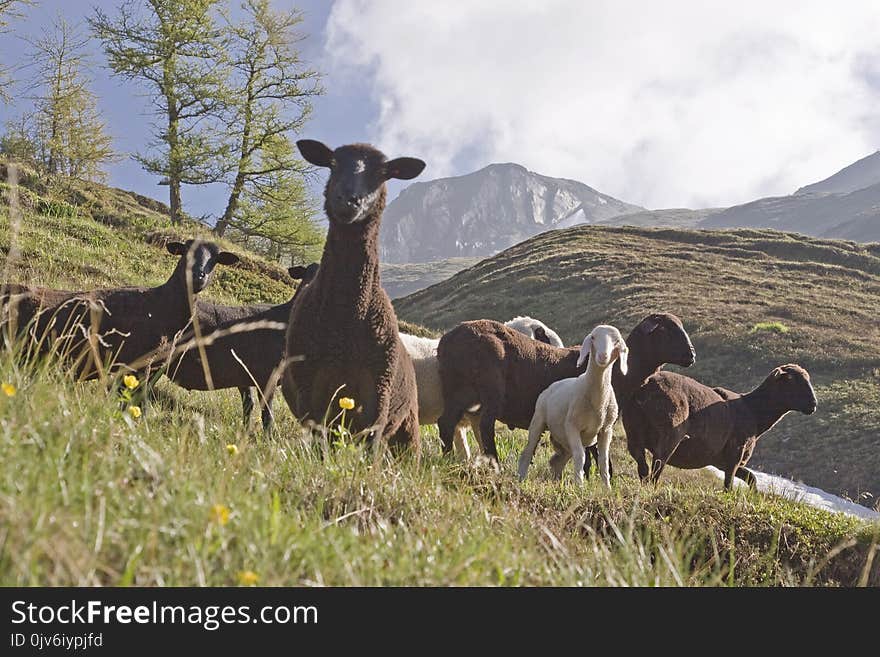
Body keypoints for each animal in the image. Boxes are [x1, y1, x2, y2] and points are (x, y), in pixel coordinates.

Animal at [276, 138, 424, 452]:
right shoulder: (310, 388)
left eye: (383, 173)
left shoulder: (379, 392)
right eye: (332, 164)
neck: (345, 319)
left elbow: (371, 446)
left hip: (407, 425)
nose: (348, 200)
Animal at [520, 324, 628, 486]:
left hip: (565, 440)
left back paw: (557, 481)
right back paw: (520, 477)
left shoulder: (606, 430)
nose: (603, 356)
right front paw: (580, 486)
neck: (597, 401)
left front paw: (607, 487)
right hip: (538, 420)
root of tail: (551, 387)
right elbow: (581, 457)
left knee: (556, 461)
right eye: (593, 337)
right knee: (528, 451)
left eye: (617, 341)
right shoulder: (572, 426)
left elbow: (603, 461)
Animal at [628, 362, 816, 484]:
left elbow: (752, 479)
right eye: (791, 380)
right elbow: (729, 485)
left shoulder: (723, 461)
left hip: (634, 427)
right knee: (657, 466)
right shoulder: (735, 454)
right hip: (671, 433)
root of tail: (647, 385)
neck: (754, 412)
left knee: (642, 464)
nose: (813, 404)